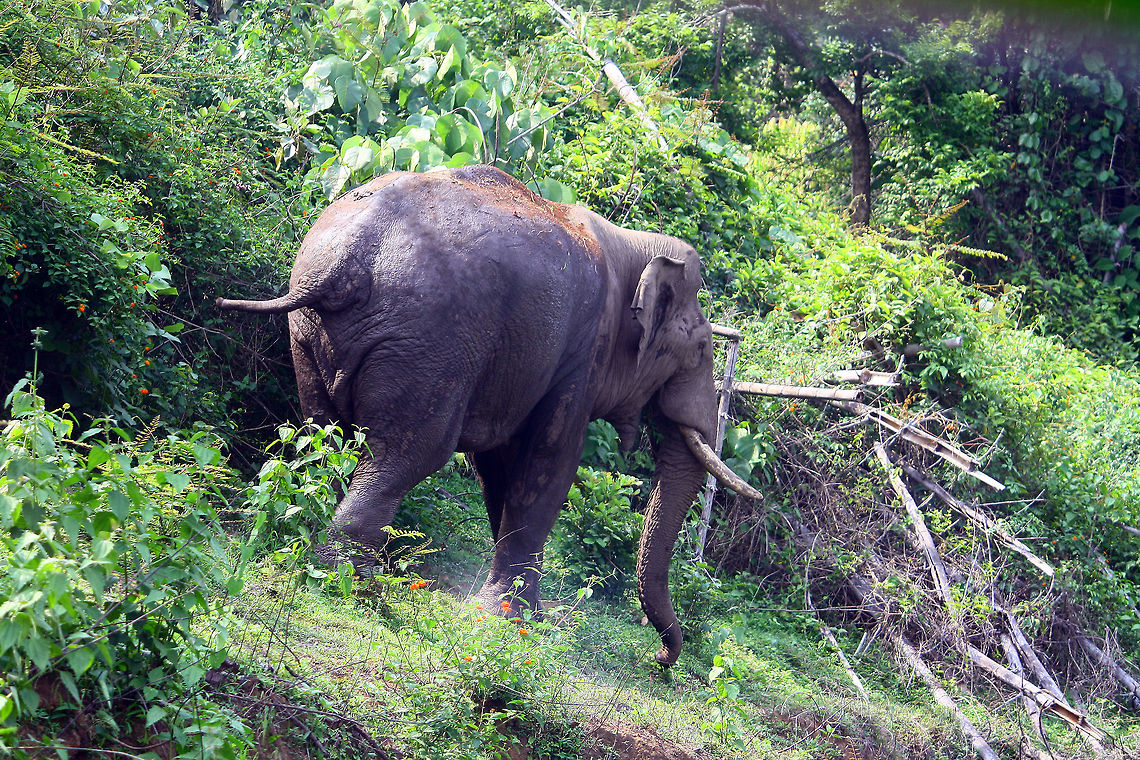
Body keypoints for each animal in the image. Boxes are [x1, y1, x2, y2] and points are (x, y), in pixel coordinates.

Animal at [216, 165, 758, 666]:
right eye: (702, 346)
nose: (660, 658)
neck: (632, 244)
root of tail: (345, 261)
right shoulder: (581, 353)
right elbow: (548, 460)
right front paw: (511, 619)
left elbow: (500, 466)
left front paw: (522, 613)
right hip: (430, 342)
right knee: (408, 452)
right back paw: (361, 584)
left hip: (311, 335)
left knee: (324, 434)